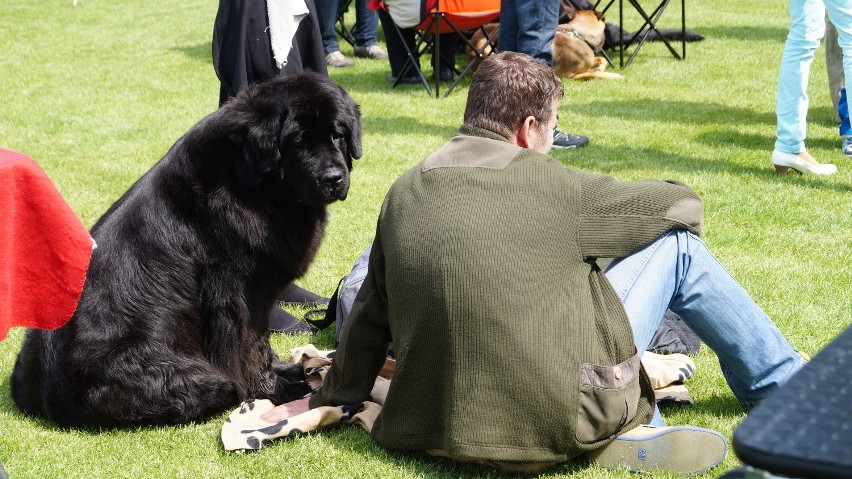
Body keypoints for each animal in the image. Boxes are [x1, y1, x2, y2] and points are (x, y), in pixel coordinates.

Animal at [10, 73, 362, 430]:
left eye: (337, 134)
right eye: (298, 142)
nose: (334, 178)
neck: (252, 181)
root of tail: (47, 398)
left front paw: (285, 372)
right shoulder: (238, 295)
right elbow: (249, 346)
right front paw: (274, 390)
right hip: (186, 377)